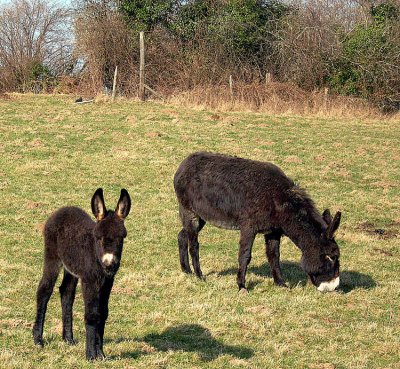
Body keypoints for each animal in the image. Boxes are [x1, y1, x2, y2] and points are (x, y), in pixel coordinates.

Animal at [33, 188, 131, 358]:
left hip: (71, 269)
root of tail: (63, 209)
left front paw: (101, 354)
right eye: (99, 238)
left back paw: (68, 339)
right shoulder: (89, 281)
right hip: (52, 256)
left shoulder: (107, 282)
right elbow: (92, 314)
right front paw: (91, 355)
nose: (109, 264)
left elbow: (103, 313)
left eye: (121, 238)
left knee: (66, 292)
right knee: (44, 290)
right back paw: (38, 340)